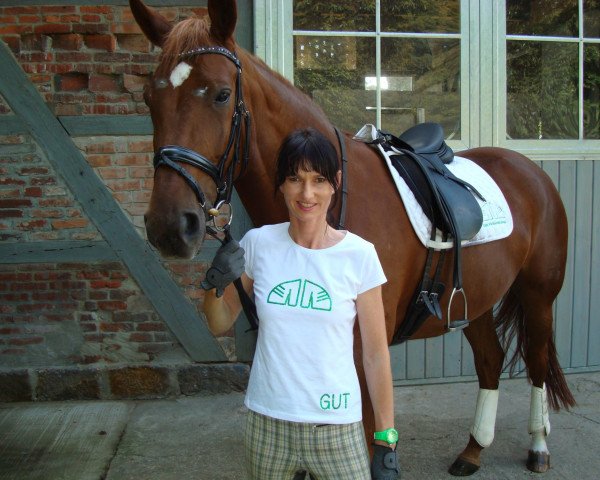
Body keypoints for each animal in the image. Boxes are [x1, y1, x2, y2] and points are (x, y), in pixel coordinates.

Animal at [131, 0, 576, 472]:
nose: (169, 227)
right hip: (475, 300)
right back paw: (473, 449)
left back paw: (538, 446)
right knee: (491, 360)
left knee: (537, 361)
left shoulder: (365, 346)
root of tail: (530, 171)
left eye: (220, 94)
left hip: (538, 295)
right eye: (149, 98)